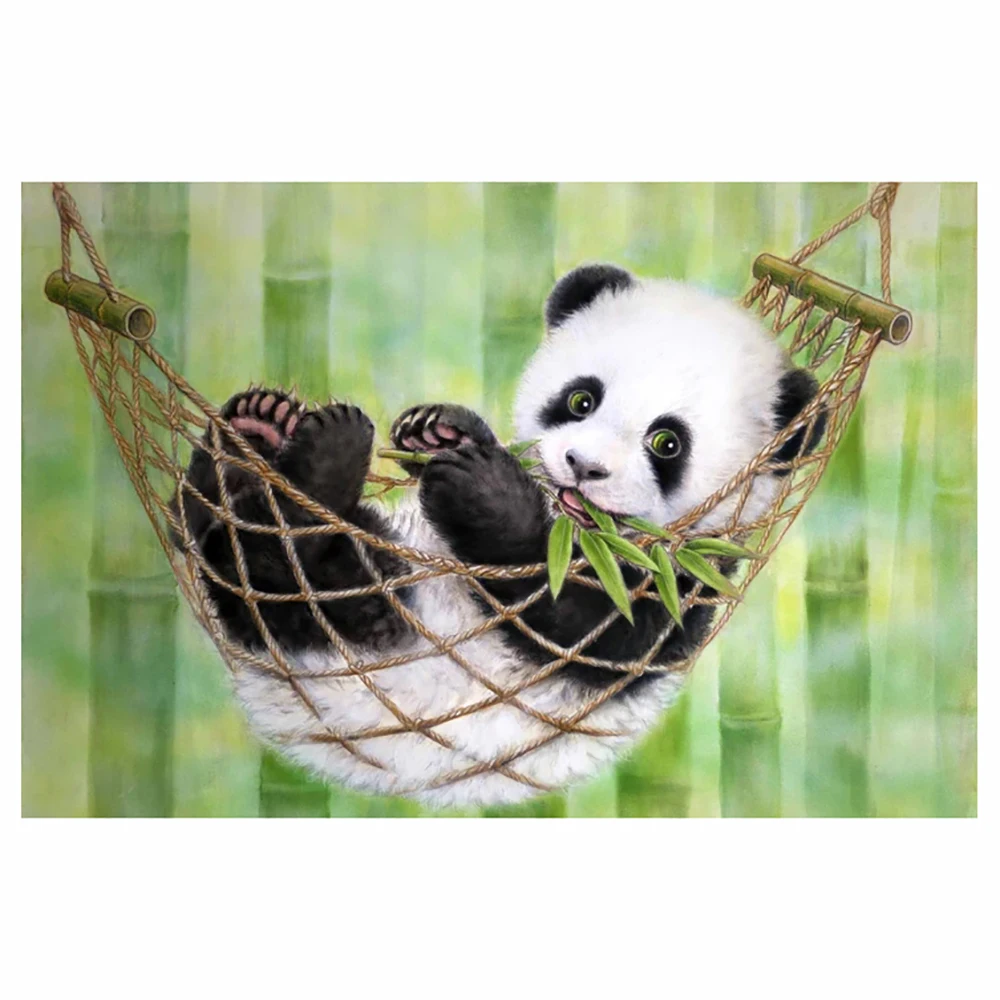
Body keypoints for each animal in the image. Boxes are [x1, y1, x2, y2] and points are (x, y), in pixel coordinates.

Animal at [177, 264, 822, 809]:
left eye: (667, 442)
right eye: (581, 399)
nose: (583, 467)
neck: (577, 532)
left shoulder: (678, 591)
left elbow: (579, 623)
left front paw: (482, 490)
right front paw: (440, 431)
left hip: (370, 623)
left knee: (283, 573)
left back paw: (318, 463)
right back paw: (254, 431)